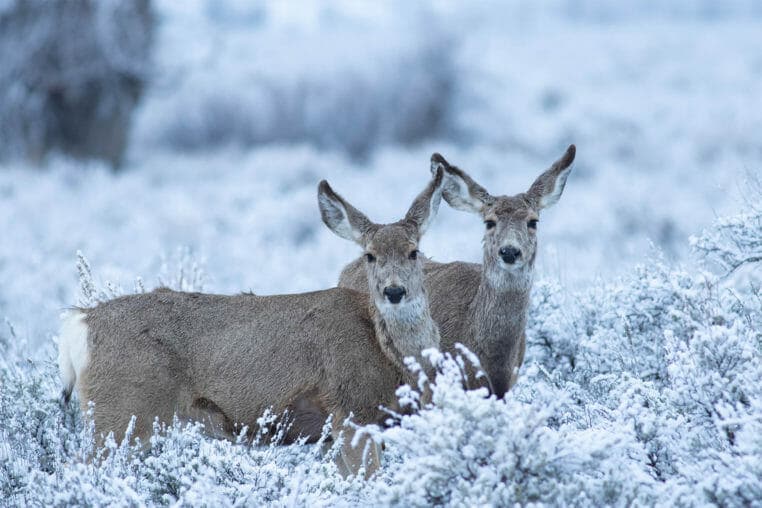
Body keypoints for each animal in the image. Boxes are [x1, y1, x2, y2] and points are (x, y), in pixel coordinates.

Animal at [57, 169, 444, 478]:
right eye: (370, 255)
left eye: (414, 252)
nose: (394, 291)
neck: (388, 355)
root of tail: (81, 322)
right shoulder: (353, 410)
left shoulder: (336, 429)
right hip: (122, 410)